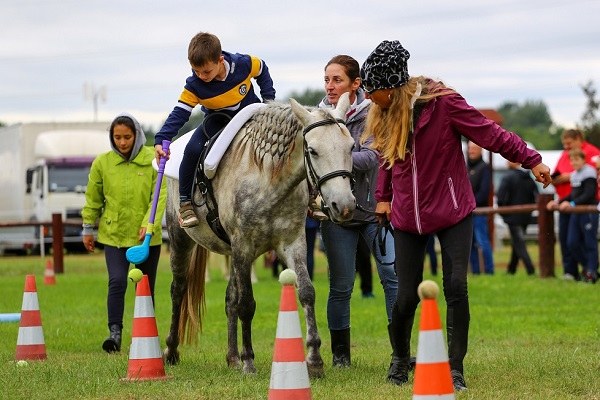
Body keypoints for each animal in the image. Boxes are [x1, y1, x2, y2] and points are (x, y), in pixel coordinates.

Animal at [163, 94, 356, 378]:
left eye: (351, 147)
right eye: (313, 150)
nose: (344, 206)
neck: (268, 178)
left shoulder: (292, 243)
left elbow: (306, 292)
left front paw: (314, 360)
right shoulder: (243, 246)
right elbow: (247, 304)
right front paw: (249, 361)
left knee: (229, 298)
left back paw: (232, 357)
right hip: (180, 239)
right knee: (178, 289)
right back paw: (172, 351)